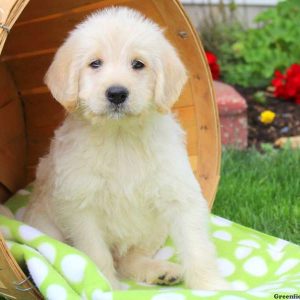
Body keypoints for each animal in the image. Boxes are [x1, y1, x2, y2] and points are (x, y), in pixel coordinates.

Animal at [23, 7, 230, 290]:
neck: (120, 136)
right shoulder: (80, 207)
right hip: (45, 224)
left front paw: (212, 287)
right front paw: (104, 286)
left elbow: (196, 244)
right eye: (95, 63)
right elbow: (95, 253)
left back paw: (159, 271)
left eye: (138, 64)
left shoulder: (179, 192)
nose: (117, 93)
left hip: (155, 230)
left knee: (131, 258)